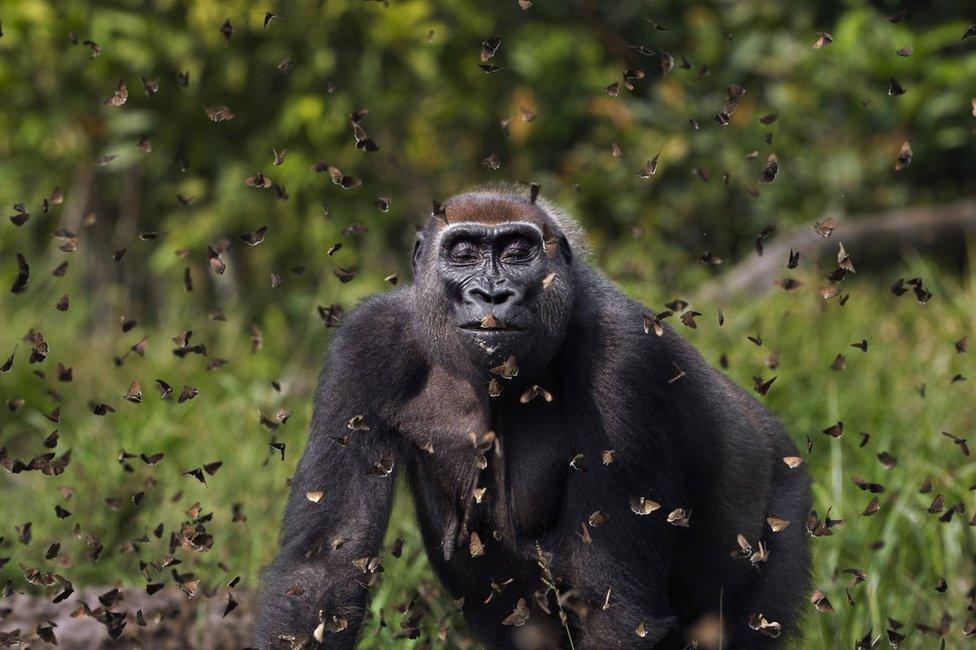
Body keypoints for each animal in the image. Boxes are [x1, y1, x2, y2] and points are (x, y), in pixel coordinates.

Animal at [255, 185, 812, 644]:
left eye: (518, 251)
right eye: (463, 253)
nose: (492, 294)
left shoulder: (625, 355)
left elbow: (616, 606)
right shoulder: (366, 343)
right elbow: (324, 570)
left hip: (786, 504)